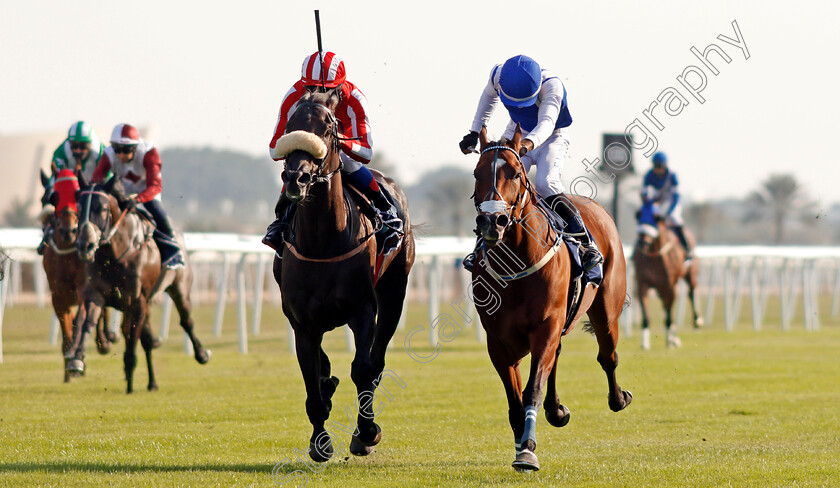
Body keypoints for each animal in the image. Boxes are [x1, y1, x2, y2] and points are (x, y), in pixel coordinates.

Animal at [38, 170, 115, 384]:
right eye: (52, 198)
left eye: (76, 194)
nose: (68, 231)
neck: (67, 255)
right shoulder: (58, 295)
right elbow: (67, 330)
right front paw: (69, 364)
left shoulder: (84, 287)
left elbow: (81, 318)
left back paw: (105, 340)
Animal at [67, 173, 212, 394]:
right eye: (80, 207)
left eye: (101, 208)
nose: (85, 245)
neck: (116, 255)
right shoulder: (96, 294)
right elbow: (87, 323)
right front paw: (76, 361)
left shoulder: (137, 301)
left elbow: (131, 344)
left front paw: (129, 383)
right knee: (146, 339)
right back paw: (152, 382)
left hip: (179, 288)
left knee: (186, 321)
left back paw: (201, 354)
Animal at [274, 90, 416, 462]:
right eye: (290, 127)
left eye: (328, 128)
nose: (296, 179)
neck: (323, 242)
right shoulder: (302, 322)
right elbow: (312, 380)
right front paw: (319, 441)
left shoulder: (363, 310)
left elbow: (363, 369)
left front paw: (366, 432)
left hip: (395, 294)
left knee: (376, 362)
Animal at [472, 127, 632, 470]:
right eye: (477, 173)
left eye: (515, 173)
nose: (492, 221)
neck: (517, 261)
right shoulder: (499, 341)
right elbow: (515, 401)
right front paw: (522, 442)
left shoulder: (545, 325)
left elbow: (532, 388)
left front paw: (528, 450)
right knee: (557, 357)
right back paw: (556, 410)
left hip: (606, 311)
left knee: (608, 356)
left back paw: (618, 399)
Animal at [632, 200, 704, 348]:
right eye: (639, 215)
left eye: (655, 217)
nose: (643, 242)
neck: (653, 255)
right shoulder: (642, 283)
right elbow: (646, 315)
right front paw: (645, 343)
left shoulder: (669, 286)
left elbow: (669, 315)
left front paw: (670, 341)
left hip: (690, 273)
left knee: (691, 292)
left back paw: (696, 322)